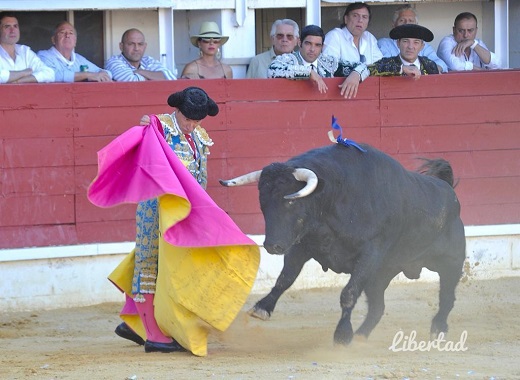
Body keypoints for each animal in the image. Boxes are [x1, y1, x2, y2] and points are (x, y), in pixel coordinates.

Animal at [219, 143, 468, 344]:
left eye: (291, 202)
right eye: (263, 202)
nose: (273, 246)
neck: (336, 197)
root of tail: (449, 191)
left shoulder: (370, 254)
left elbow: (348, 293)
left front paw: (341, 335)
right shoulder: (302, 245)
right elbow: (284, 279)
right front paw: (262, 308)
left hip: (451, 262)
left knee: (447, 296)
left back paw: (437, 329)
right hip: (380, 276)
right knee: (378, 307)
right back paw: (361, 336)